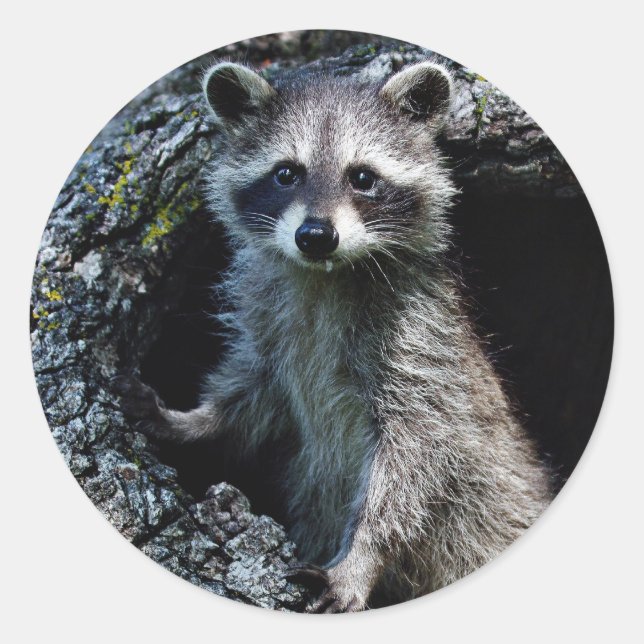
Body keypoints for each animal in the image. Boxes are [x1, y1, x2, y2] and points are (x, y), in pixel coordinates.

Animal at [116, 60, 552, 612]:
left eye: (362, 177)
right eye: (286, 173)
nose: (316, 236)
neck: (325, 276)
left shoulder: (420, 341)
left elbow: (416, 457)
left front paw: (360, 558)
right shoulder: (270, 325)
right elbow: (251, 396)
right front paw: (192, 421)